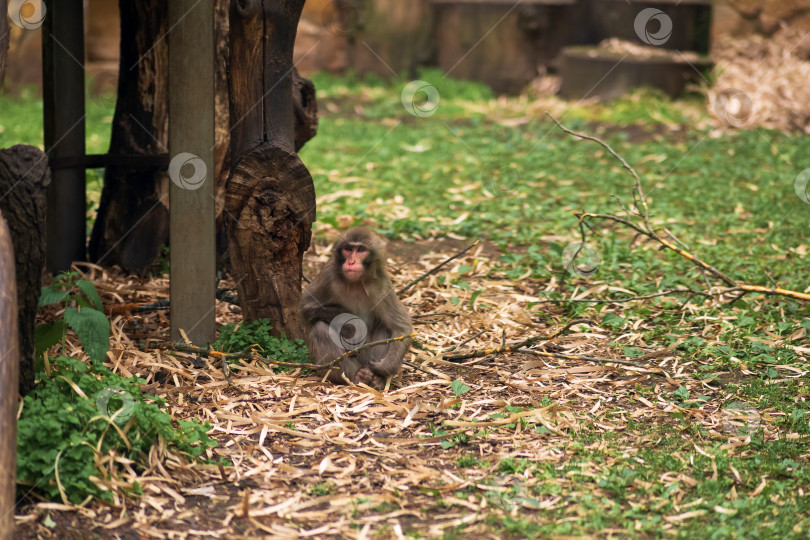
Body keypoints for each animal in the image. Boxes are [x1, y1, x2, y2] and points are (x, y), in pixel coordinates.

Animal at [298, 227, 410, 388]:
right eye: (348, 249)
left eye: (361, 250)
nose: (351, 262)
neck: (356, 282)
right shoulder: (328, 275)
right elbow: (306, 307)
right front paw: (352, 327)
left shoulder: (381, 284)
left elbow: (402, 327)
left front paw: (386, 367)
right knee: (320, 328)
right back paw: (356, 378)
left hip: (367, 358)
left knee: (385, 327)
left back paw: (376, 379)